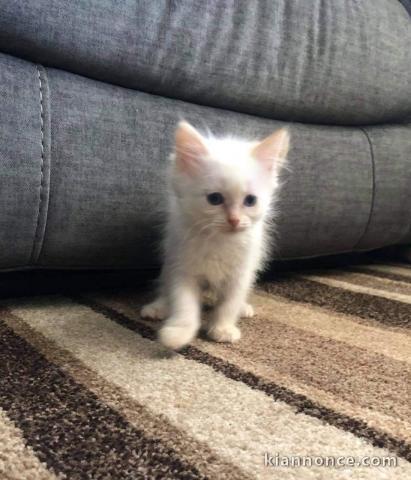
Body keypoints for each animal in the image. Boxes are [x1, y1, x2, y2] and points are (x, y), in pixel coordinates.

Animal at [142, 122, 290, 350]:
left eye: (250, 201)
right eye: (215, 199)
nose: (234, 220)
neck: (219, 240)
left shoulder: (240, 273)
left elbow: (229, 304)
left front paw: (223, 328)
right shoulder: (183, 269)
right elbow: (184, 305)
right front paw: (178, 333)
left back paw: (243, 308)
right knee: (165, 286)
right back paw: (158, 307)